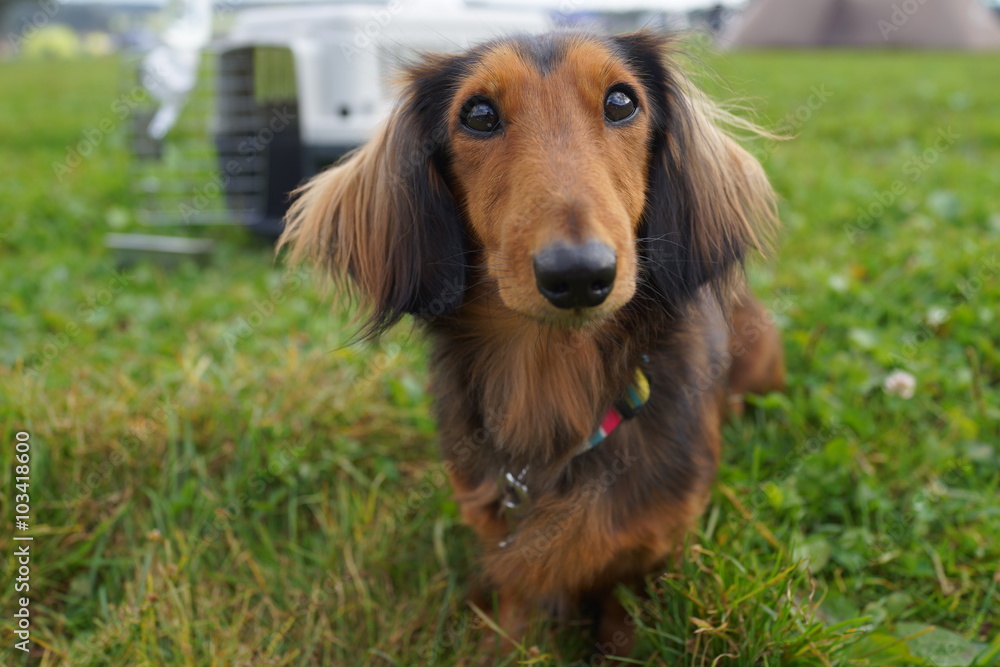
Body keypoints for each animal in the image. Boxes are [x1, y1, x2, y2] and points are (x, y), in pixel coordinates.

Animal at [278, 30, 784, 656]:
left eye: (622, 102)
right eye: (478, 114)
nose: (579, 274)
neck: (553, 383)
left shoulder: (648, 554)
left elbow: (623, 618)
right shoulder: (503, 542)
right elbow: (513, 617)